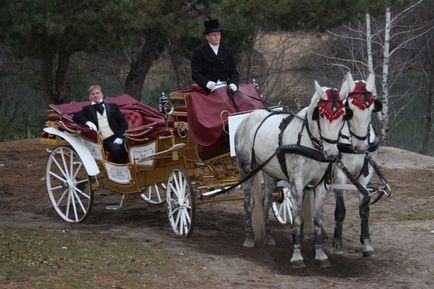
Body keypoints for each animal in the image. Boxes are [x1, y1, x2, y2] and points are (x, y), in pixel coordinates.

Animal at [234, 79, 352, 268]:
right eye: (321, 115)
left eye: (342, 116)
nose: (332, 153)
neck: (309, 143)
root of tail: (248, 117)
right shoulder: (297, 183)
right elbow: (297, 218)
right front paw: (296, 256)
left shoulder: (322, 185)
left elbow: (318, 219)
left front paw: (320, 254)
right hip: (246, 169)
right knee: (248, 203)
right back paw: (249, 238)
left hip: (269, 172)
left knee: (266, 201)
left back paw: (268, 237)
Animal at [332, 71, 384, 255]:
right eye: (349, 110)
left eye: (371, 109)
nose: (361, 147)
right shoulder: (339, 174)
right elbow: (340, 210)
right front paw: (337, 244)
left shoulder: (365, 174)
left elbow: (364, 207)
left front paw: (367, 242)